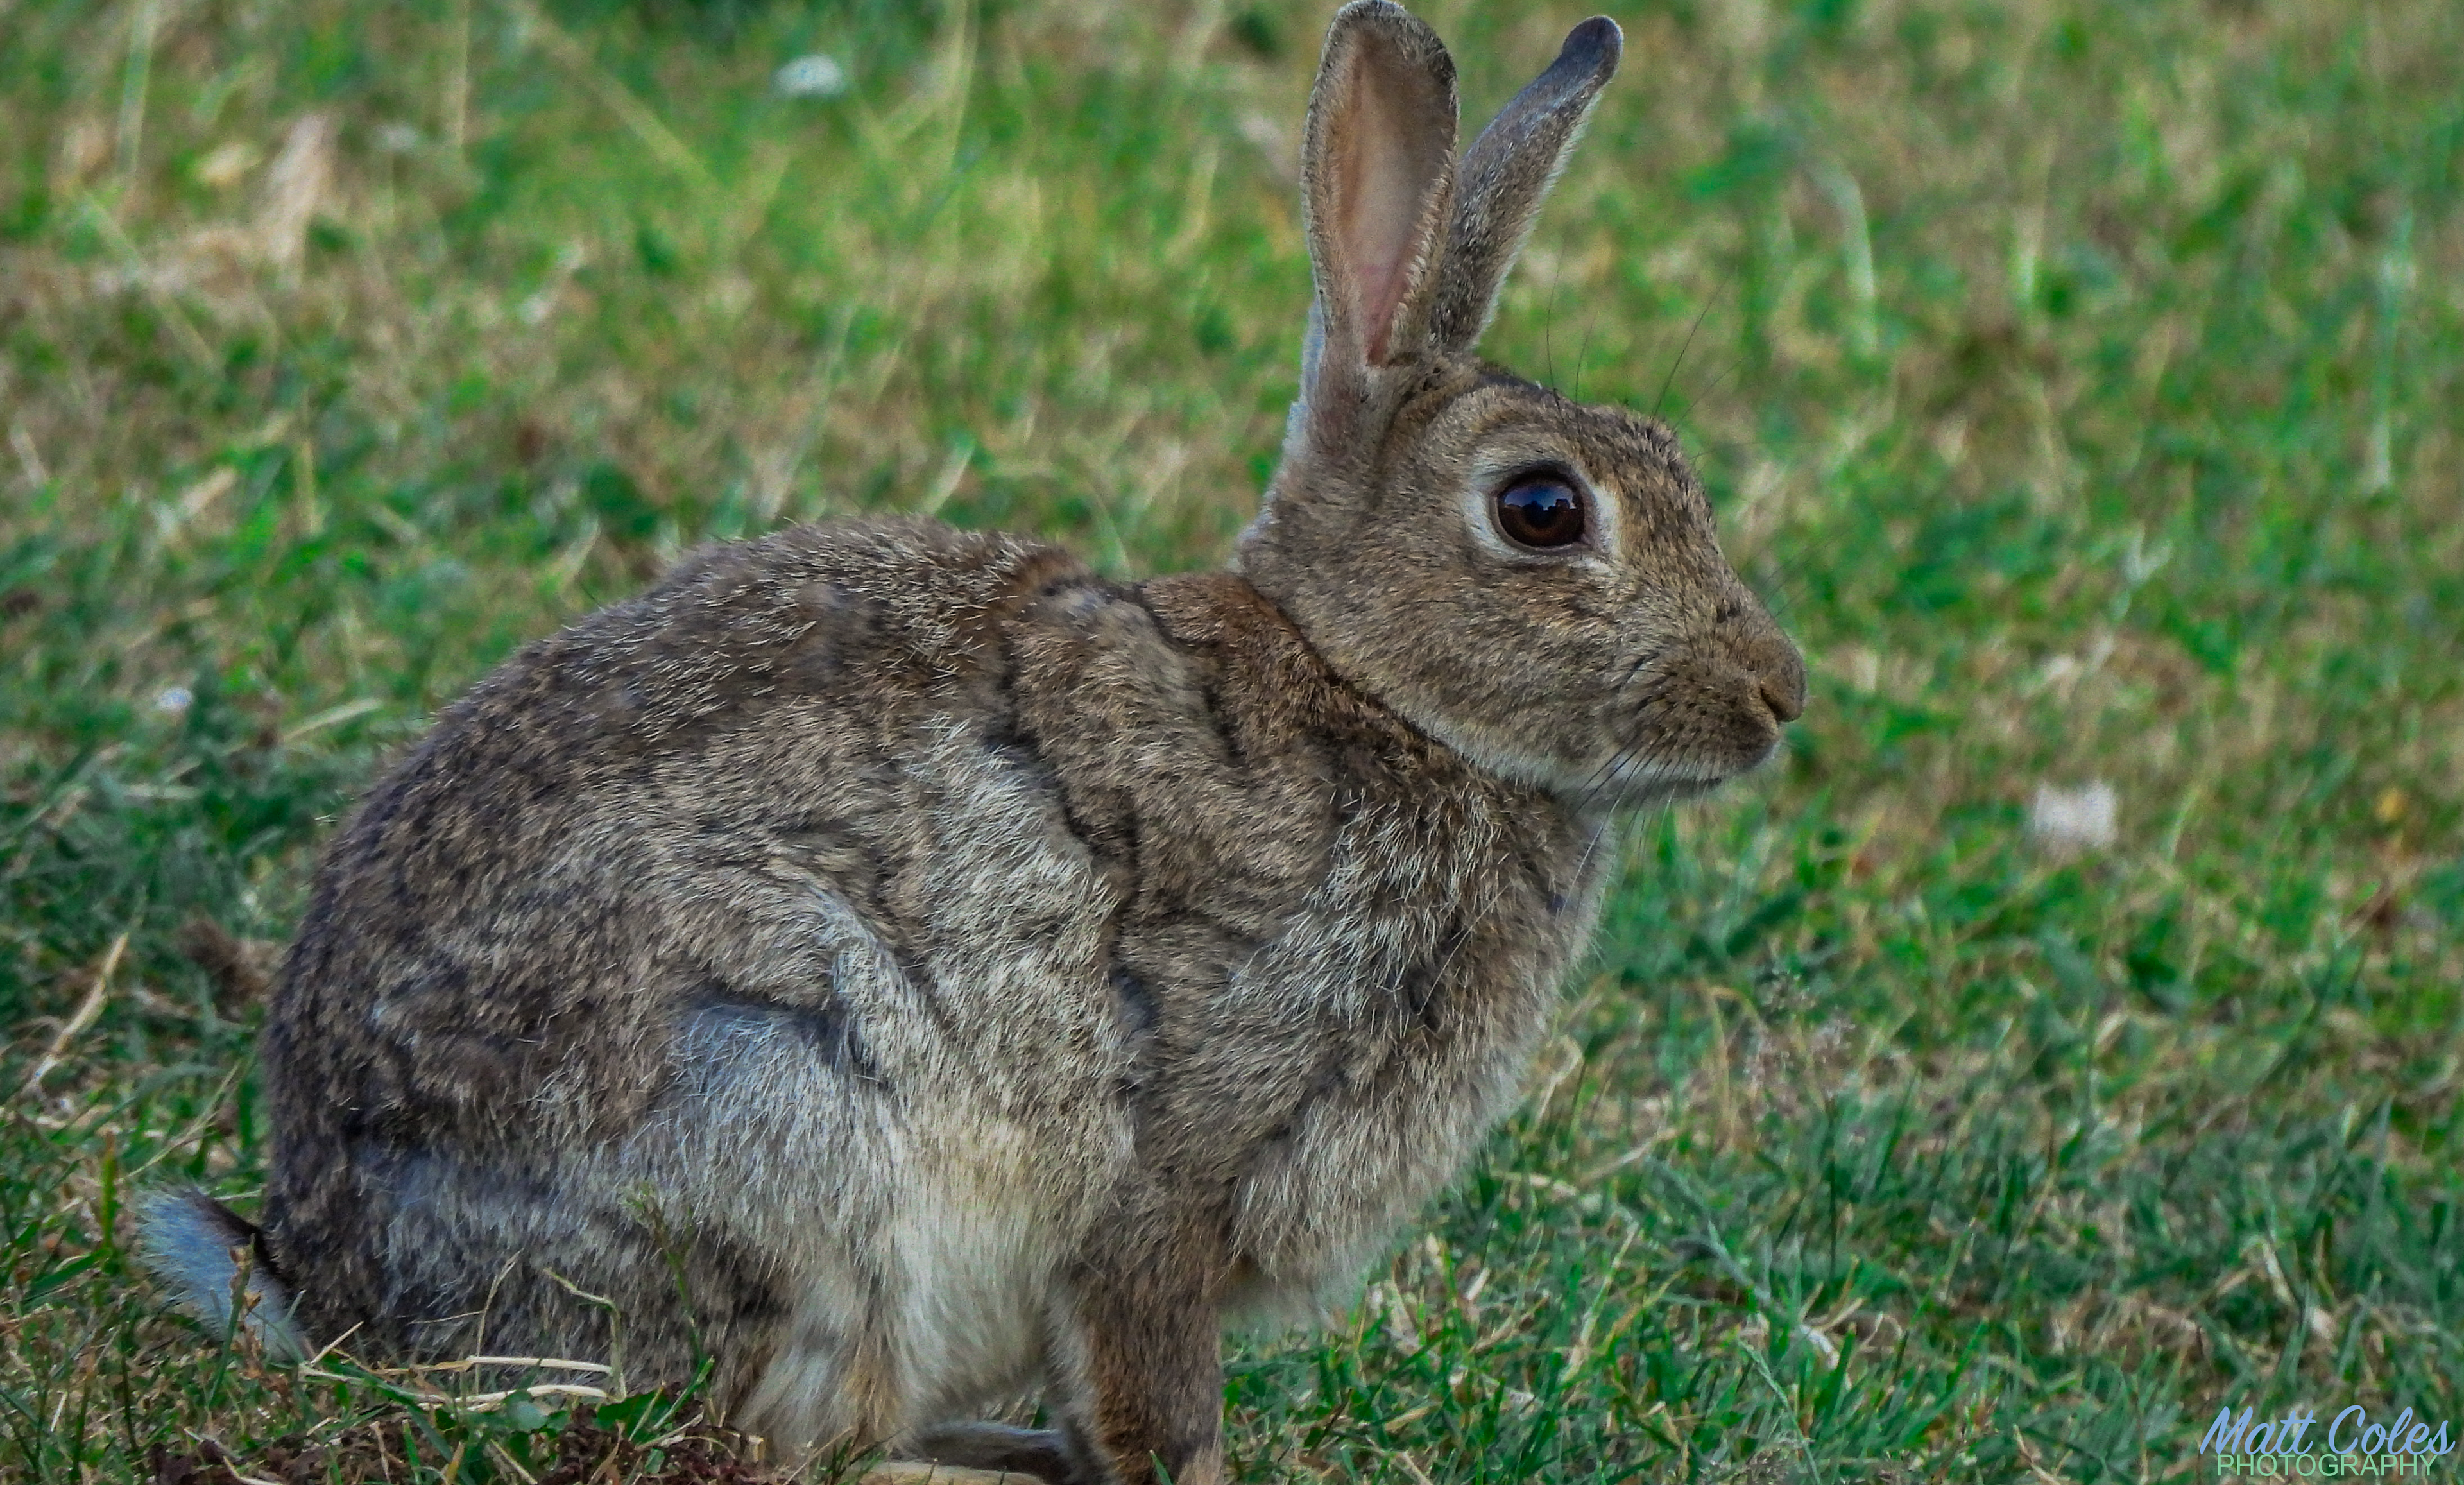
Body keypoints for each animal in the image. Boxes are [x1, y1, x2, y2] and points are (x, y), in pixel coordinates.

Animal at [140, 4, 1804, 1482]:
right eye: (1542, 509)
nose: (1777, 692)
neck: (1370, 687)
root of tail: (341, 1285)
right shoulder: (1178, 1146)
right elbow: (1148, 1370)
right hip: (788, 1124)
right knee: (760, 1435)